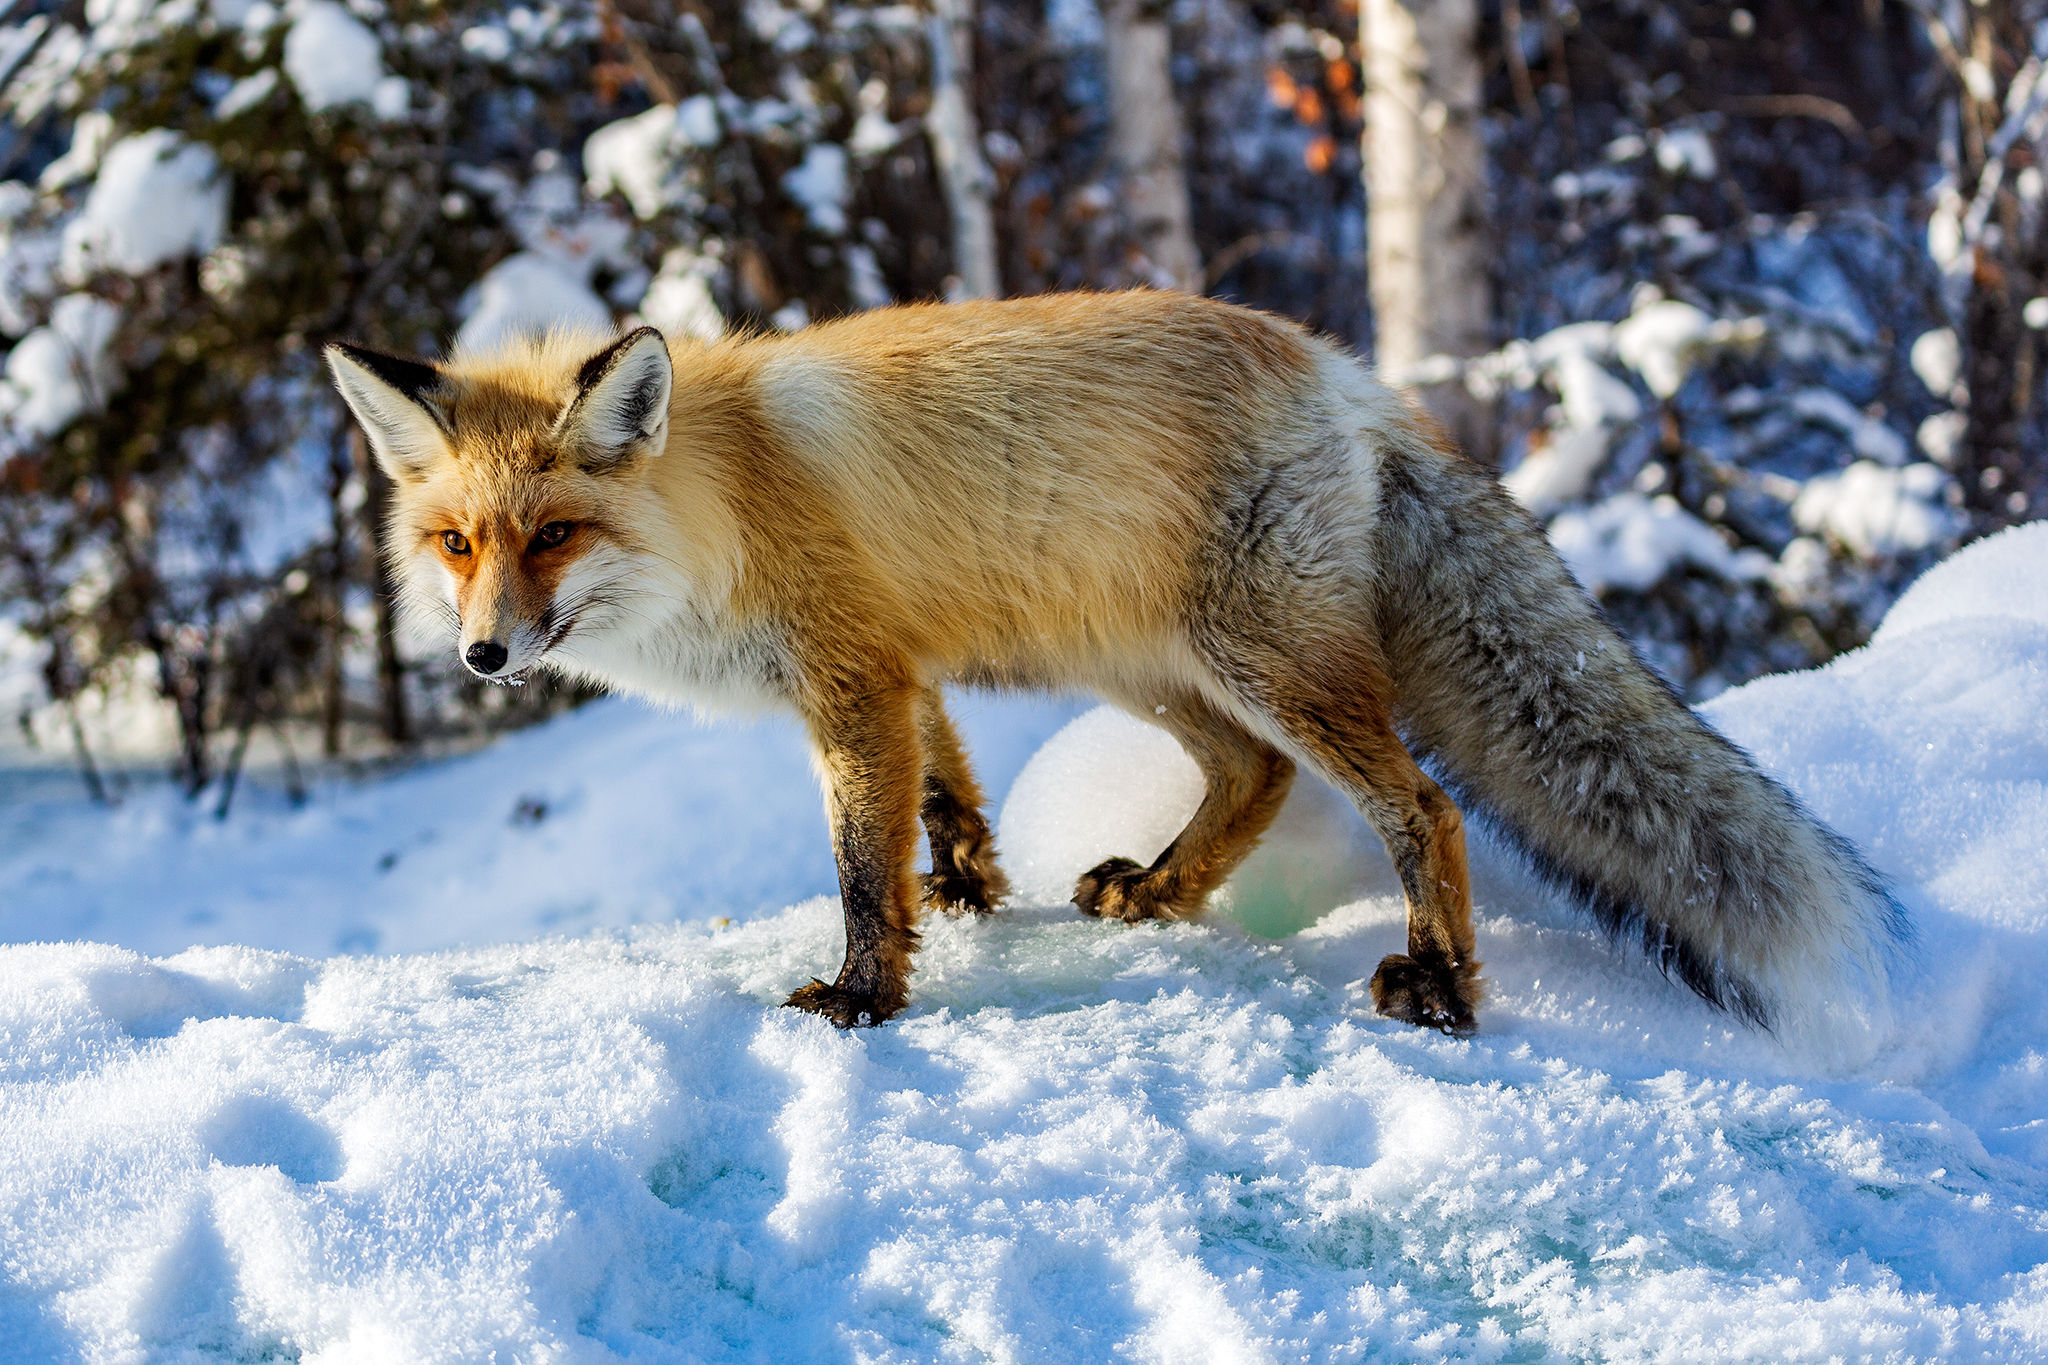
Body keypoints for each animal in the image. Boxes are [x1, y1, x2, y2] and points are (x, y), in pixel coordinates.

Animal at [323, 290, 1900, 1035]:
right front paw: (968, 895)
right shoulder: (904, 668)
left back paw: (1444, 988)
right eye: (457, 543)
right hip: (1150, 667)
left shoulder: (849, 682)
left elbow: (858, 868)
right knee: (1253, 779)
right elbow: (945, 800)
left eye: (556, 535)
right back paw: (1155, 893)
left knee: (1424, 805)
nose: (482, 654)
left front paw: (866, 999)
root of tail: (1350, 376)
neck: (726, 498)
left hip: (1259, 663)